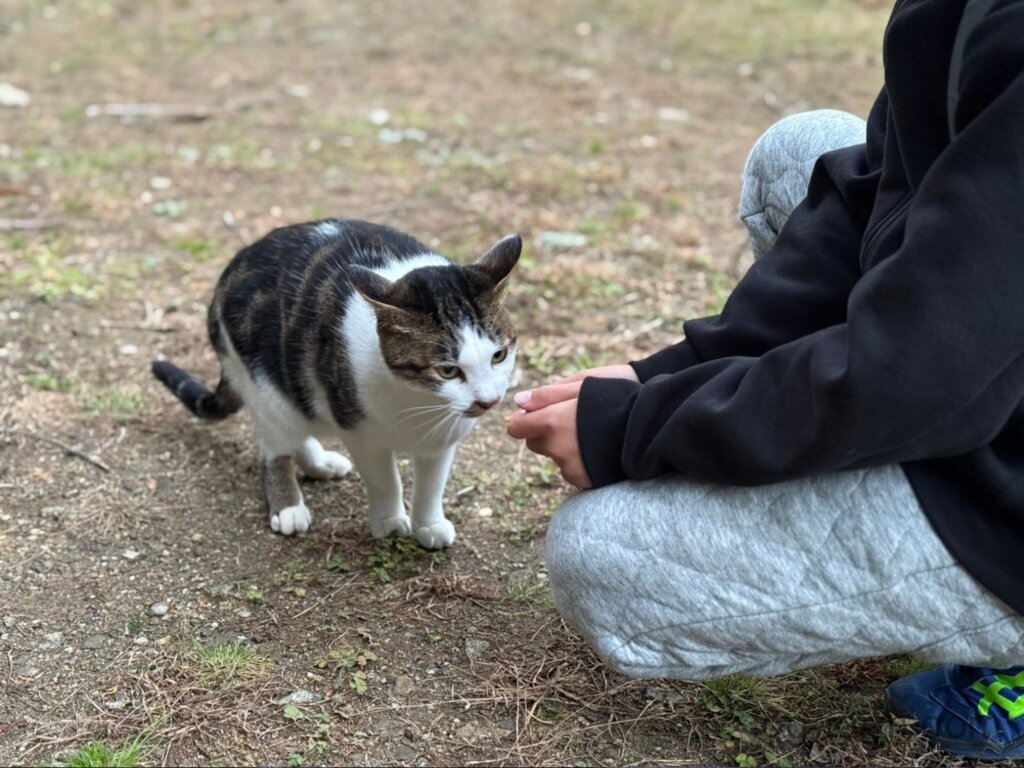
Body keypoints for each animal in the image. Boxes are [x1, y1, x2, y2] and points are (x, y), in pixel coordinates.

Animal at [151, 219, 520, 548]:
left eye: (499, 355)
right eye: (447, 371)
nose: (488, 401)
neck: (418, 400)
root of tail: (232, 268)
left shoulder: (442, 439)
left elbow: (432, 484)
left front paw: (428, 524)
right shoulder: (360, 430)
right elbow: (384, 480)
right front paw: (389, 521)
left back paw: (318, 463)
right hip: (263, 380)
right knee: (275, 443)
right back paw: (288, 504)